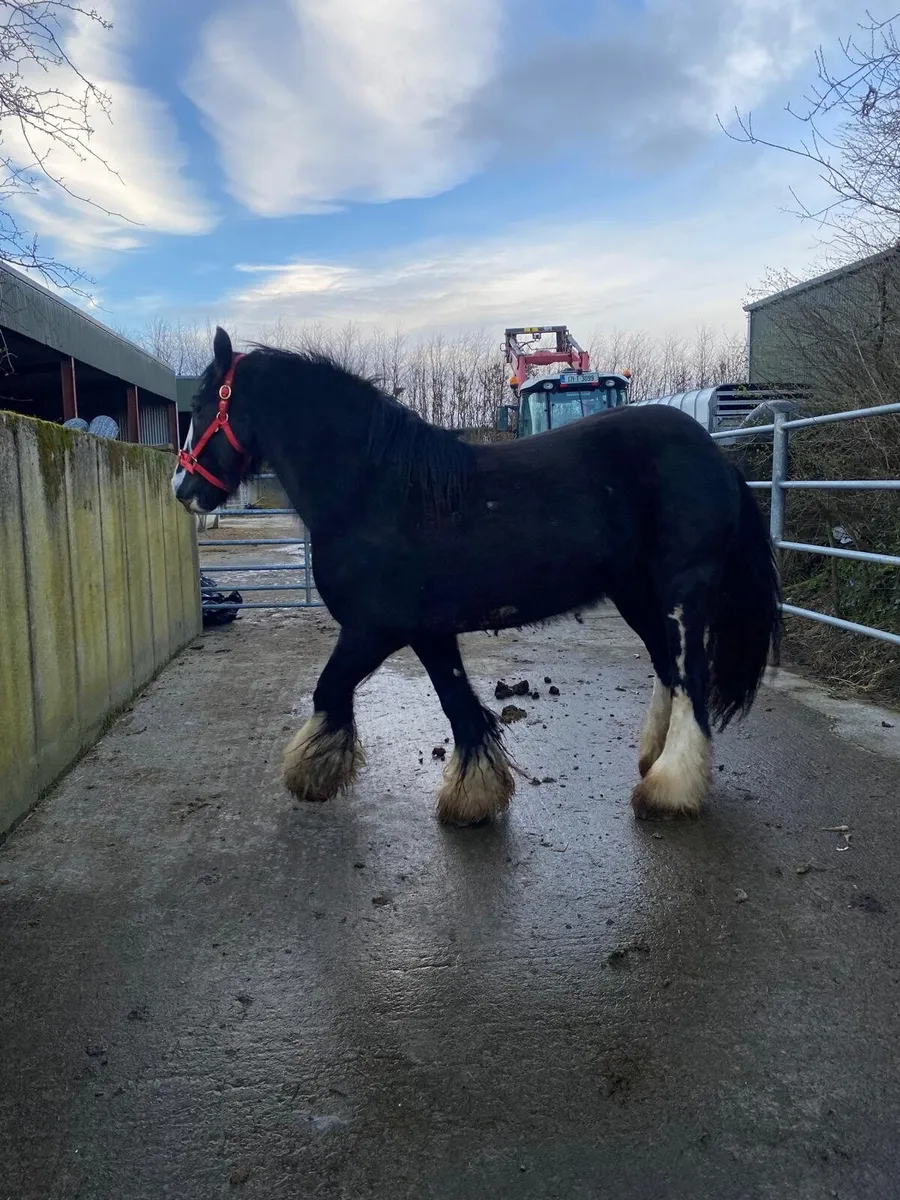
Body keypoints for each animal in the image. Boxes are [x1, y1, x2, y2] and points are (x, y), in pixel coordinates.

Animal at [172, 328, 780, 825]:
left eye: (201, 404)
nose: (184, 489)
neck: (372, 491)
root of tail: (716, 456)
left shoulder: (375, 630)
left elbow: (333, 690)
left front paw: (315, 774)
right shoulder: (429, 631)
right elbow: (458, 705)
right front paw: (476, 793)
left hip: (681, 591)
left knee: (690, 678)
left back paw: (670, 789)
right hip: (636, 593)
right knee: (666, 668)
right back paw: (653, 760)